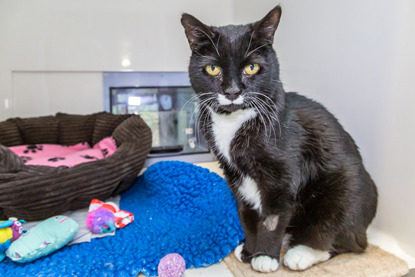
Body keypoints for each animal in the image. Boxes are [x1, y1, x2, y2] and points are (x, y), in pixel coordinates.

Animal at [180, 4, 378, 272]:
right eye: (213, 69)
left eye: (251, 68)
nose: (232, 91)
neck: (234, 121)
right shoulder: (234, 175)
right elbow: (246, 212)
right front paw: (250, 250)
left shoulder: (281, 177)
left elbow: (273, 218)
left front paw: (265, 256)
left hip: (343, 195)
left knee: (345, 240)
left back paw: (301, 253)